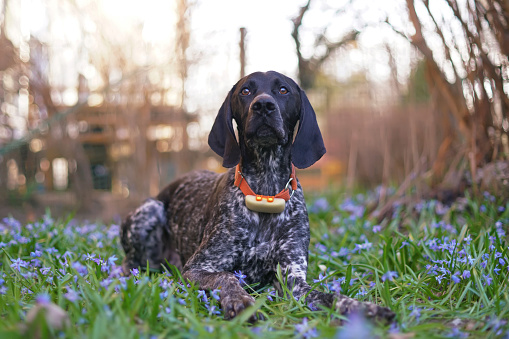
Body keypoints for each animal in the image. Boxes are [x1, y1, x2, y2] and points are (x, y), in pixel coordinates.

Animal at [121, 70, 394, 322]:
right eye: (245, 91)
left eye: (283, 90)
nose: (263, 105)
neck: (265, 192)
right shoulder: (196, 268)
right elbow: (227, 276)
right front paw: (240, 300)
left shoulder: (293, 280)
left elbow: (331, 296)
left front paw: (365, 308)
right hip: (148, 213)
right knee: (130, 264)